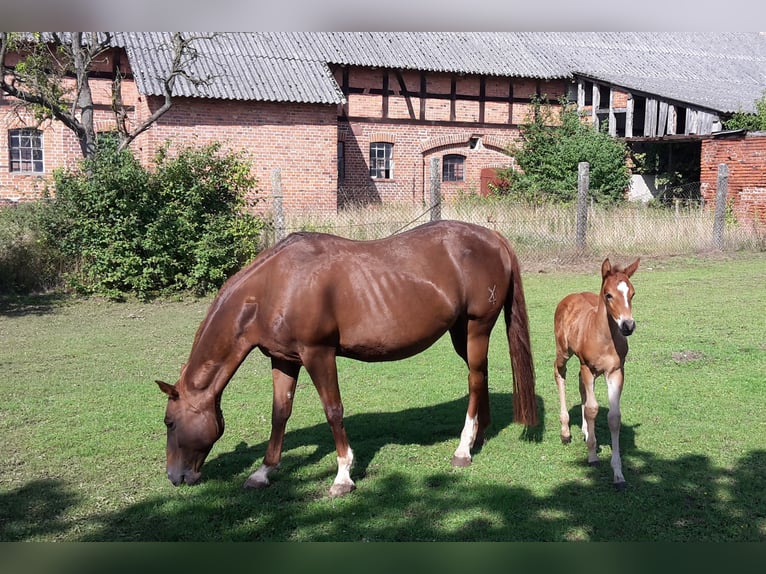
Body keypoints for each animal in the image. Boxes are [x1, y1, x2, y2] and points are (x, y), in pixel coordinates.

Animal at [156, 220, 540, 500]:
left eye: (169, 423)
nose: (175, 477)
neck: (275, 286)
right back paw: (478, 436)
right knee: (481, 377)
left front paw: (343, 476)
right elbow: (280, 413)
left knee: (474, 380)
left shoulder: (318, 354)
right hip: (462, 332)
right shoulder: (284, 360)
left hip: (476, 328)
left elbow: (333, 411)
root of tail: (492, 237)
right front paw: (263, 472)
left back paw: (463, 450)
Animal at [552, 258, 640, 492]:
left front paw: (618, 474)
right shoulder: (588, 368)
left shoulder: (616, 372)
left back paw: (585, 431)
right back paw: (566, 432)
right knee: (560, 373)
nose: (628, 326)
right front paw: (592, 455)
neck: (605, 338)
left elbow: (614, 417)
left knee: (580, 386)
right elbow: (592, 409)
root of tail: (570, 296)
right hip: (564, 352)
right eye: (608, 294)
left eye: (632, 293)